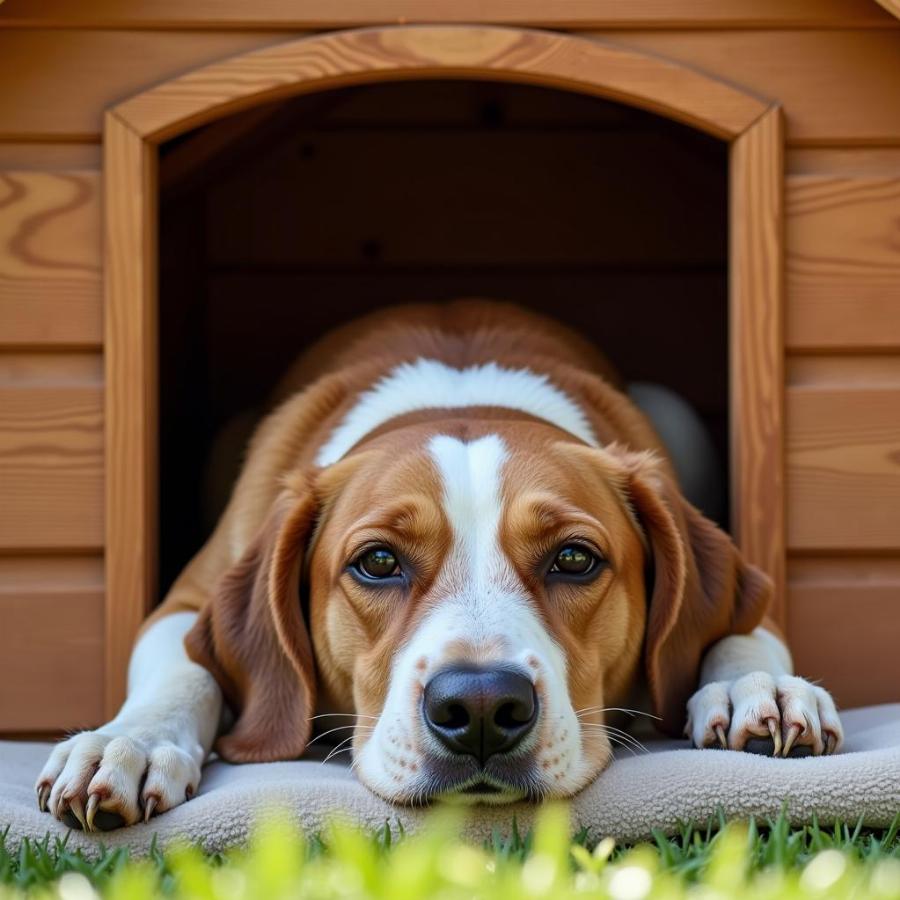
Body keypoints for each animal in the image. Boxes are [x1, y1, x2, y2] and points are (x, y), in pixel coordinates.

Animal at [37, 300, 844, 828]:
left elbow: (747, 627)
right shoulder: (187, 598)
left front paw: (757, 687)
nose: (482, 707)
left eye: (574, 558)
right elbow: (182, 668)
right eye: (378, 561)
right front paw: (130, 742)